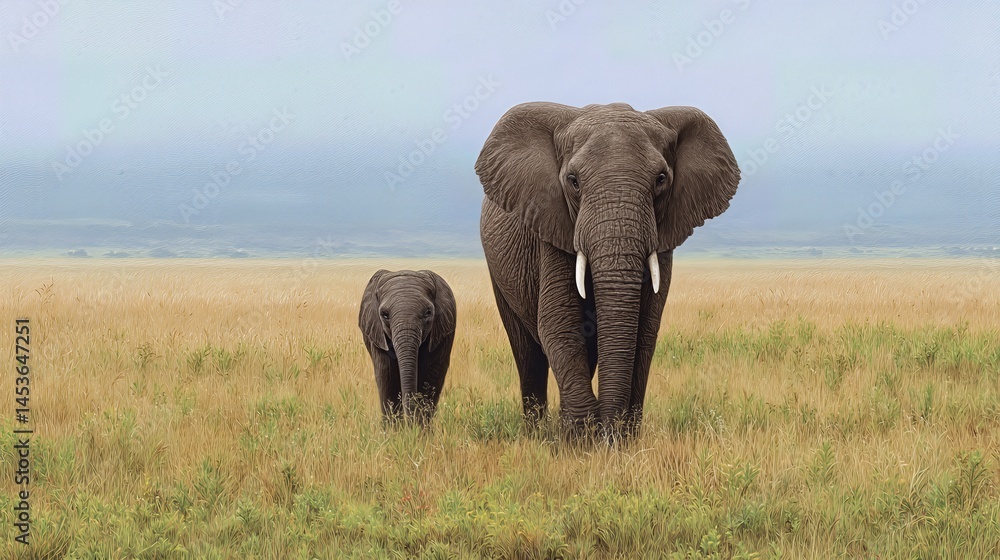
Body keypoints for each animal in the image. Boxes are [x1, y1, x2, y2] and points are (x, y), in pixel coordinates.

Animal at [358, 269, 456, 423]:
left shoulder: (442, 331)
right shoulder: (376, 333)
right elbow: (387, 375)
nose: (410, 424)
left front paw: (421, 427)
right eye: (384, 315)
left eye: (428, 313)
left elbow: (431, 375)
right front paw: (395, 429)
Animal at [476, 102, 740, 440]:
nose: (608, 432)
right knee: (527, 353)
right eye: (573, 180)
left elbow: (645, 328)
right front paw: (581, 438)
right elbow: (559, 322)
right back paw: (537, 432)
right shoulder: (552, 224)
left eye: (661, 179)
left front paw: (621, 438)